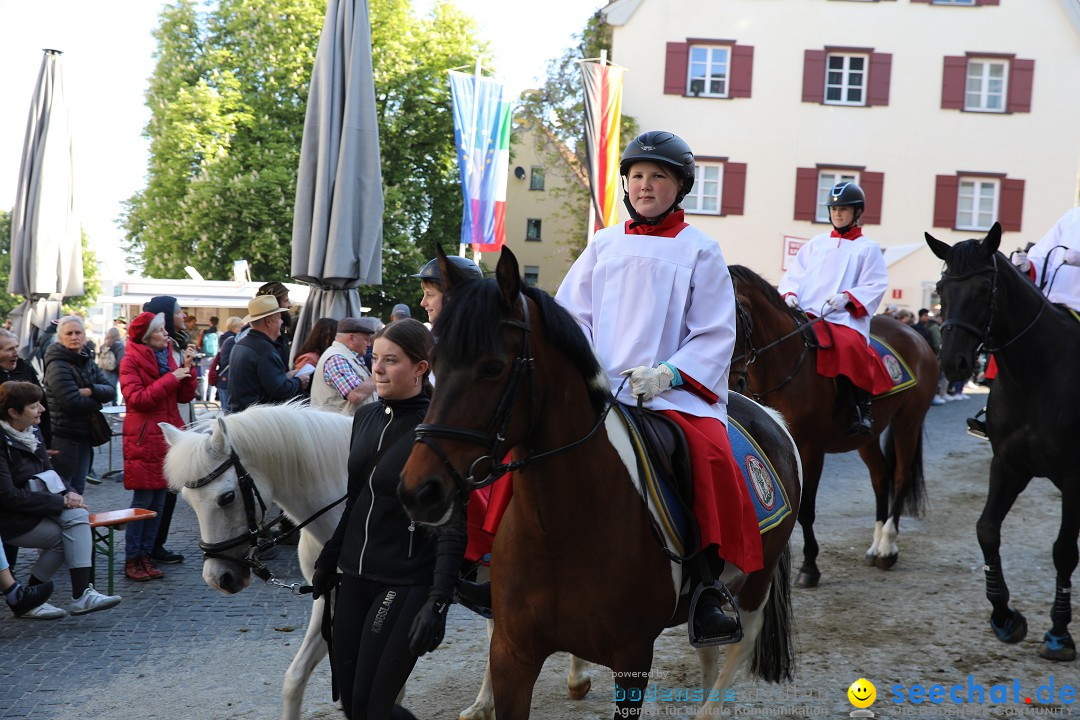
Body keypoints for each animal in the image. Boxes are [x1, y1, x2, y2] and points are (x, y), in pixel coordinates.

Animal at [159, 405, 591, 720]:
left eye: (227, 497)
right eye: (187, 501)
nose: (219, 577)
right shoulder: (330, 597)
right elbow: (295, 679)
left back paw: (577, 676)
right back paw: (484, 704)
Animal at [399, 248, 803, 720]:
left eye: (492, 368)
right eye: (434, 362)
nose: (419, 490)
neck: (560, 526)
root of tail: (768, 416)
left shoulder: (632, 656)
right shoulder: (513, 653)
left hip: (756, 583)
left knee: (738, 648)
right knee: (708, 651)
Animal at [725, 262, 946, 587]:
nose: (733, 384)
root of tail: (916, 337)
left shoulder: (810, 449)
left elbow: (806, 510)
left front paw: (809, 567)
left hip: (908, 422)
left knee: (900, 476)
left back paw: (887, 547)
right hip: (869, 438)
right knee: (881, 476)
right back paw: (875, 545)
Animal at [924, 222, 1075, 660]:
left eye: (984, 289)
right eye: (941, 287)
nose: (953, 362)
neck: (1038, 374)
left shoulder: (1074, 478)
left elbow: (1064, 550)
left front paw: (1059, 632)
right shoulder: (1009, 465)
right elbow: (986, 530)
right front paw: (1005, 616)